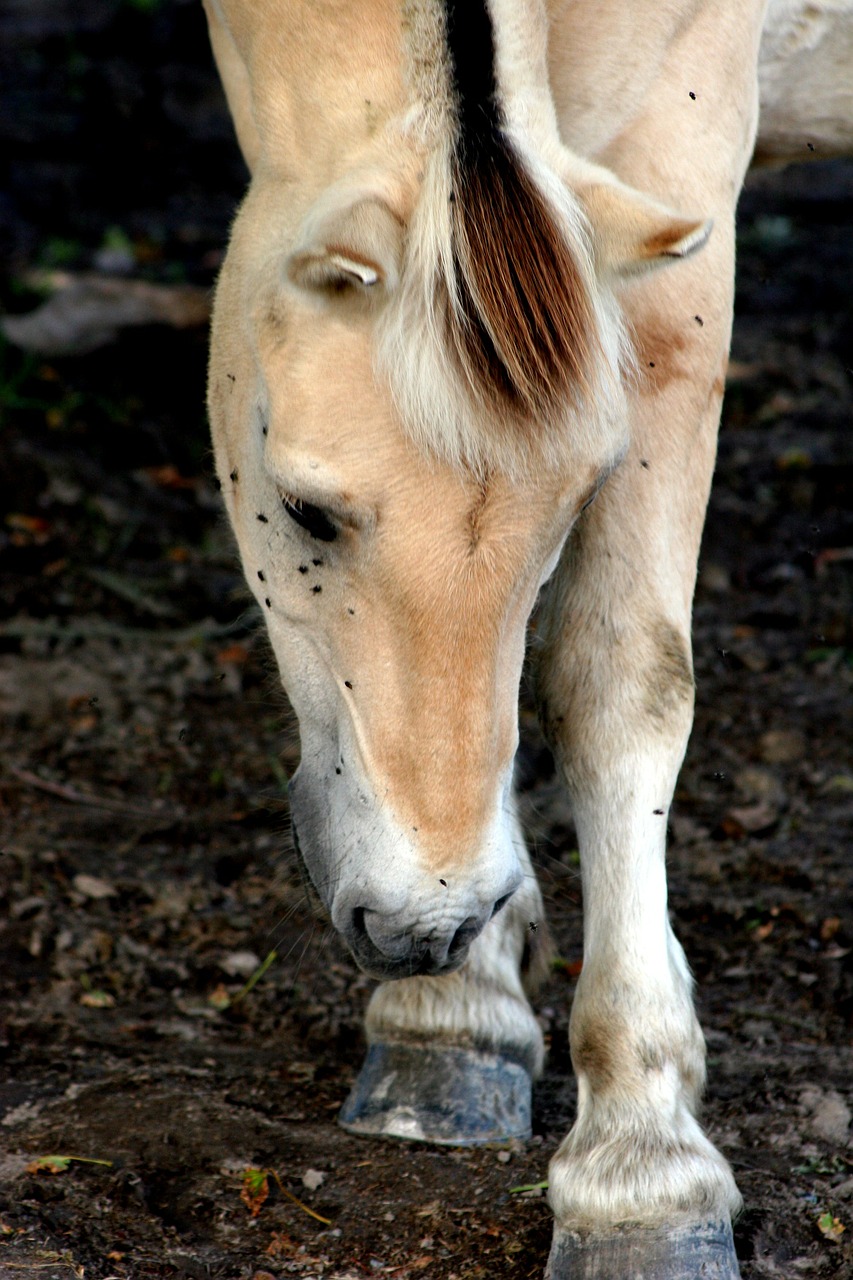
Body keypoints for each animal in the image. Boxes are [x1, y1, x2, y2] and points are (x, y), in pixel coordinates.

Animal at [201, 0, 850, 1274]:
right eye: (303, 509)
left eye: (574, 501)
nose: (426, 921)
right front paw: (459, 1017)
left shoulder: (671, 169)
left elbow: (616, 680)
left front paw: (642, 1166)